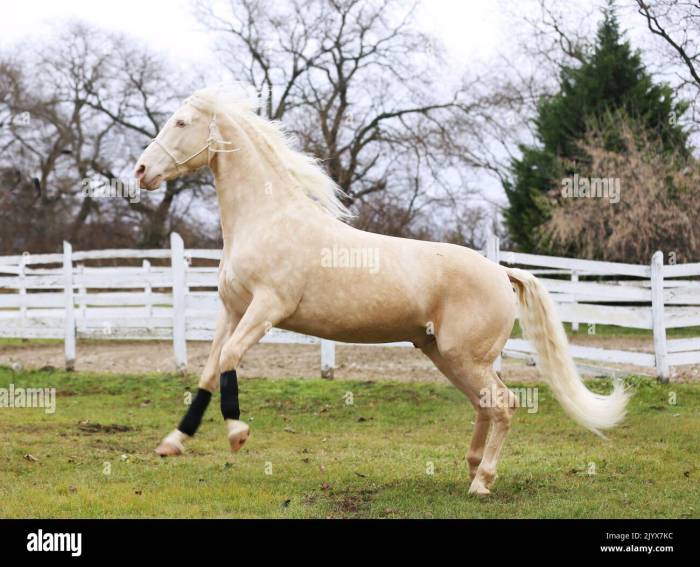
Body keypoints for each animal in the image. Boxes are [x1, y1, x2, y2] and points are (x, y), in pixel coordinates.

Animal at [134, 86, 629, 496]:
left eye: (181, 123)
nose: (140, 171)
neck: (267, 220)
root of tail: (501, 272)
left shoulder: (268, 309)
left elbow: (231, 358)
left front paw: (237, 434)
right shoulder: (232, 310)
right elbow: (209, 370)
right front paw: (172, 442)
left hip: (465, 356)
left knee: (504, 405)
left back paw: (482, 482)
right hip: (446, 355)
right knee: (486, 405)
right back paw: (471, 468)